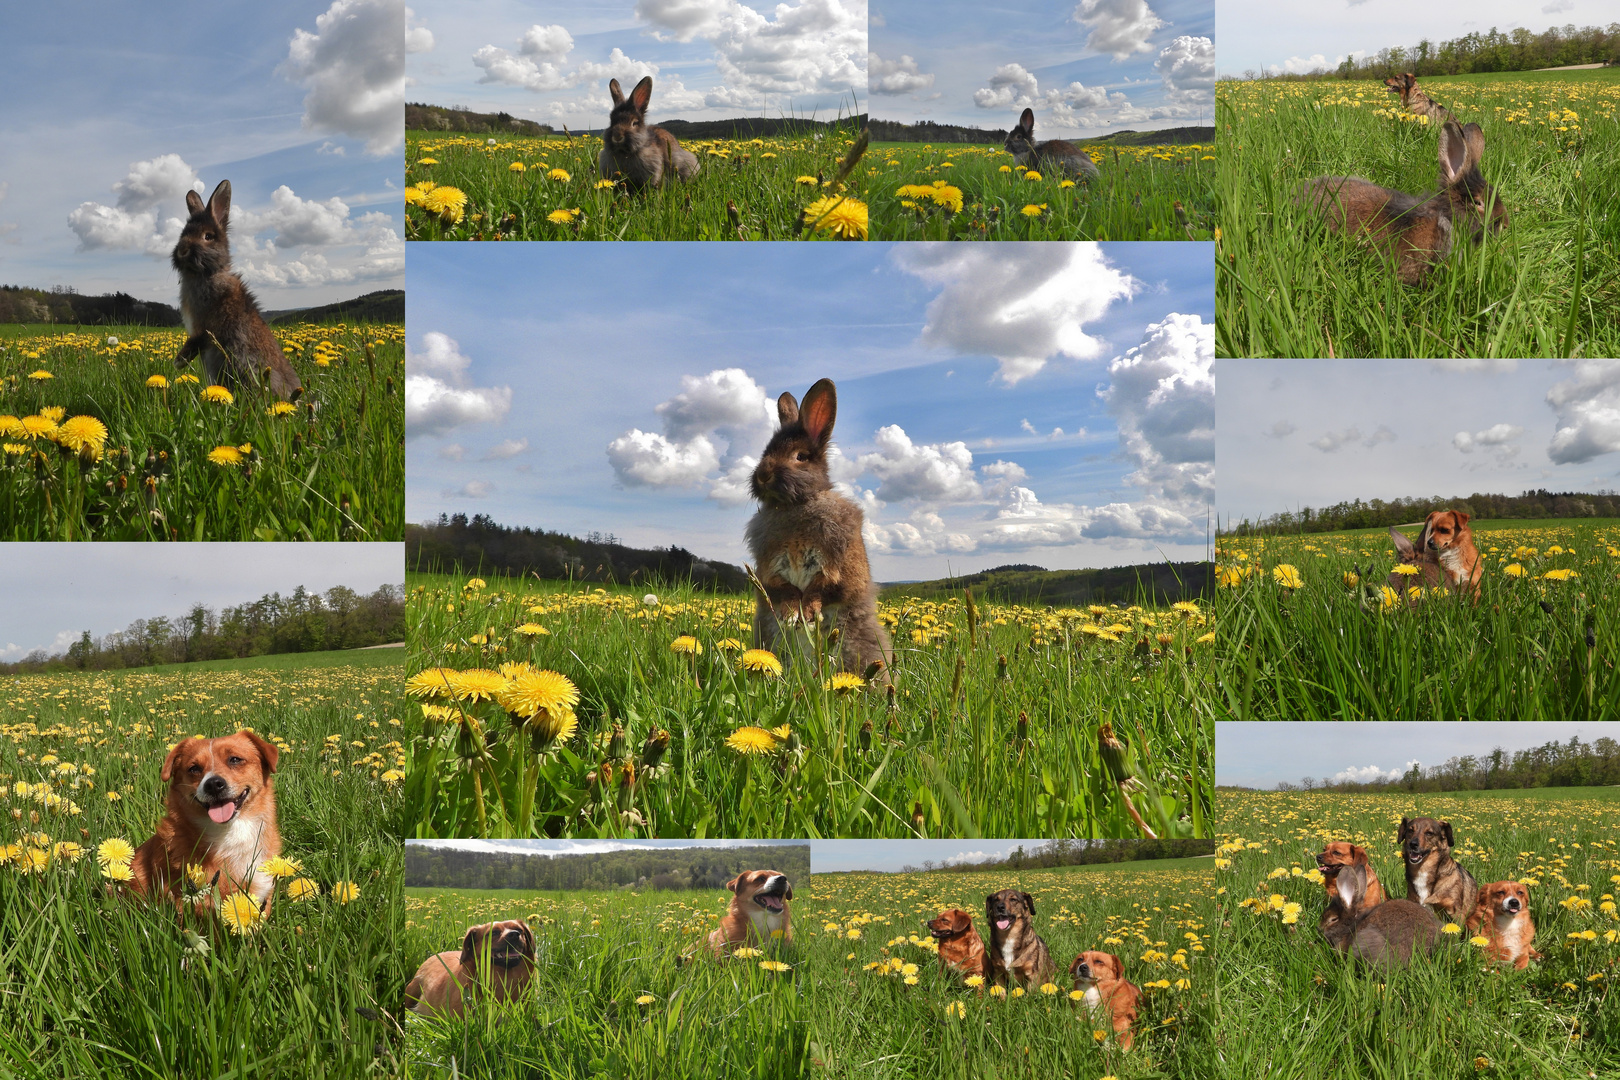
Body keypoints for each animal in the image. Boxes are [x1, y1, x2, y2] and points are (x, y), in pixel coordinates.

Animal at [172, 181, 304, 401]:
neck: (207, 274)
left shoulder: (206, 328)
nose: (182, 250)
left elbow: (195, 342)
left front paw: (178, 362)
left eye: (208, 236)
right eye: (182, 234)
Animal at [741, 380, 894, 683]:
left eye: (801, 456)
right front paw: (792, 614)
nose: (763, 475)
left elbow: (822, 589)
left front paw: (807, 614)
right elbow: (784, 590)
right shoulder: (770, 571)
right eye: (766, 451)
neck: (795, 505)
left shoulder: (839, 568)